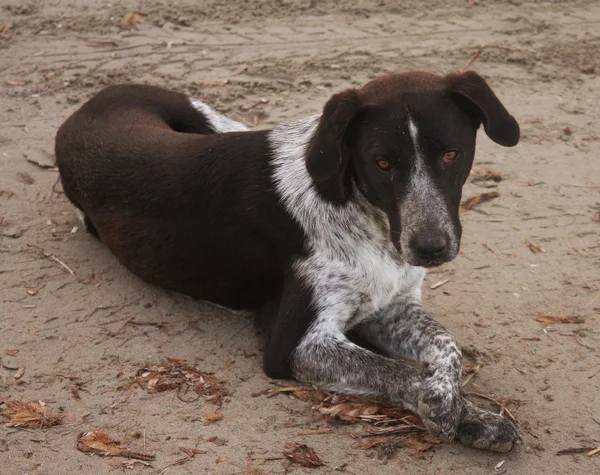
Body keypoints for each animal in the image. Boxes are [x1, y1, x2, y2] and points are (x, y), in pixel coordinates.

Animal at [57, 71, 524, 454]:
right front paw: (448, 409)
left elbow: (447, 345)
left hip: (215, 120)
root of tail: (86, 105)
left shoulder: (393, 305)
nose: (430, 248)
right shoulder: (296, 344)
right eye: (382, 163)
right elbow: (395, 372)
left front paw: (469, 412)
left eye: (451, 155)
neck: (365, 215)